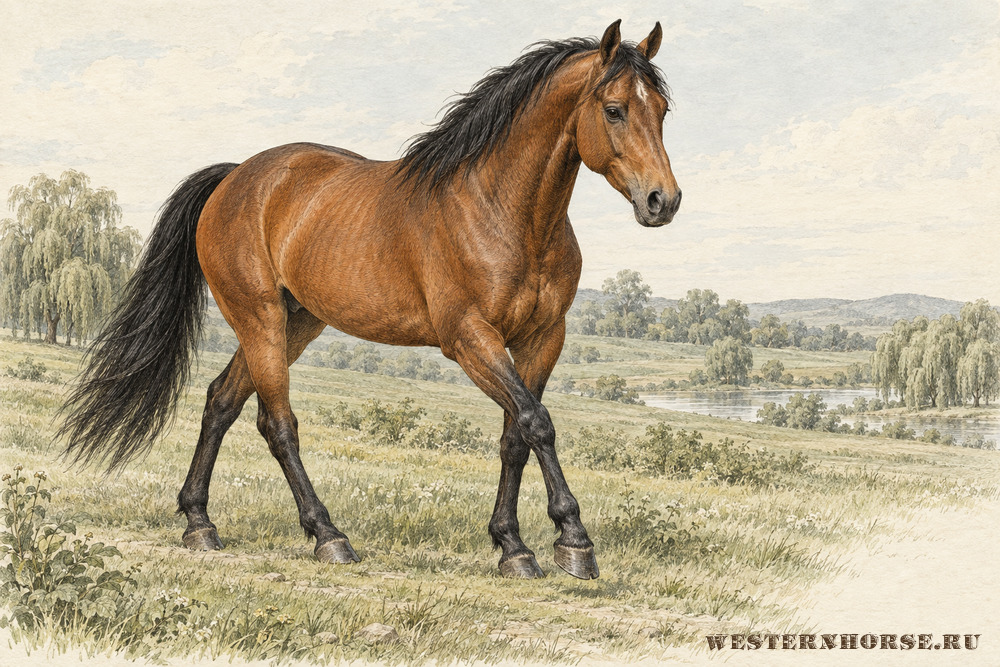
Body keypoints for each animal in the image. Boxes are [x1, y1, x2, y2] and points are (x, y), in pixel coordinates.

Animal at [59, 20, 681, 580]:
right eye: (615, 109)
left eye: (662, 111)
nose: (663, 201)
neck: (502, 211)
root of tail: (235, 178)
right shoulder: (470, 339)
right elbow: (537, 422)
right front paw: (573, 541)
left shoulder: (543, 339)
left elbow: (515, 437)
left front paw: (512, 545)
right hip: (259, 318)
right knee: (277, 423)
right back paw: (327, 536)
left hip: (296, 323)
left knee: (221, 401)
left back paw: (199, 523)